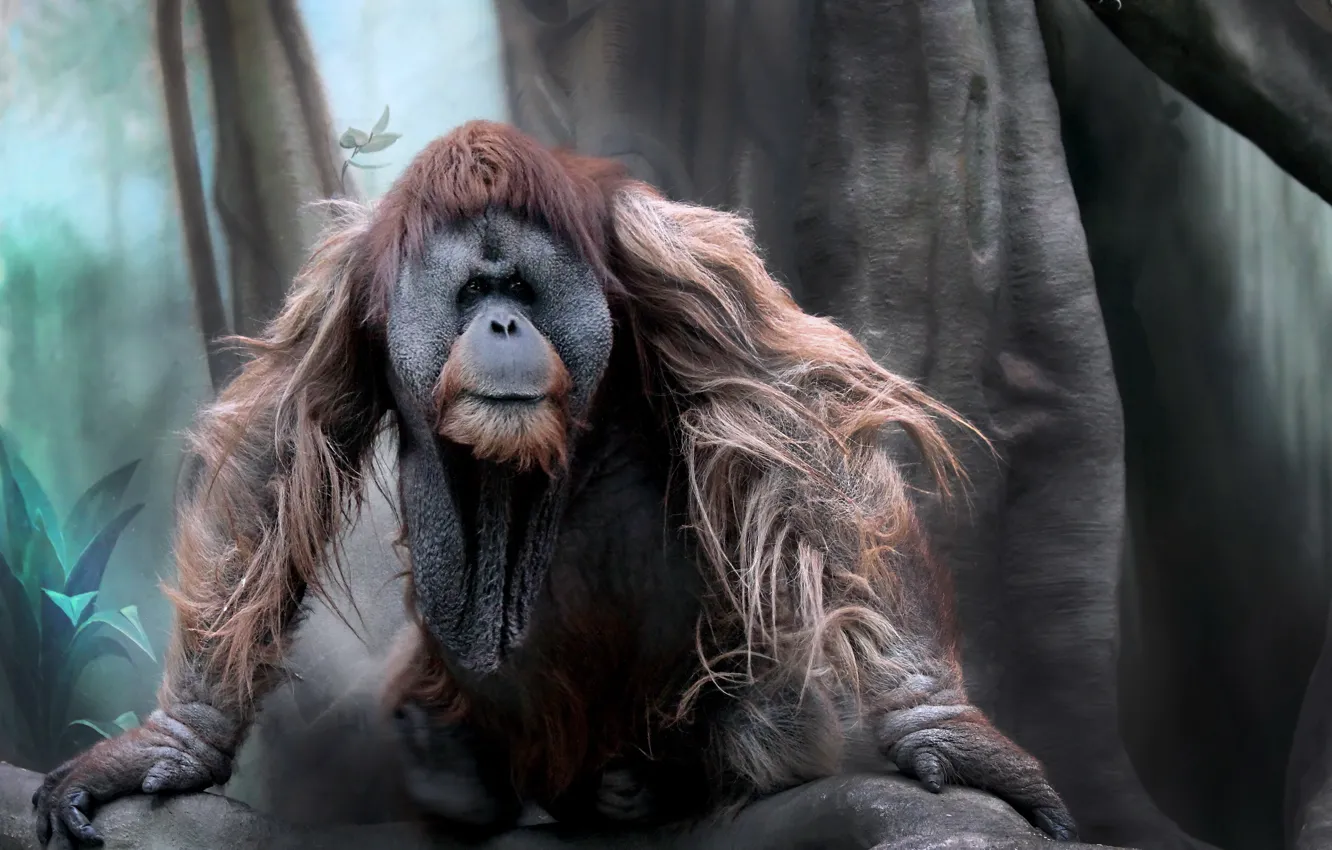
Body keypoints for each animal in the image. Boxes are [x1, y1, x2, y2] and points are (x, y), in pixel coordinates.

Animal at [32, 120, 1077, 847]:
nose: (500, 325)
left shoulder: (671, 252)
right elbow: (275, 452)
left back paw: (664, 779)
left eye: (523, 290)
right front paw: (170, 745)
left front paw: (952, 735)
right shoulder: (342, 282)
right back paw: (458, 765)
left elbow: (796, 419)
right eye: (471, 292)